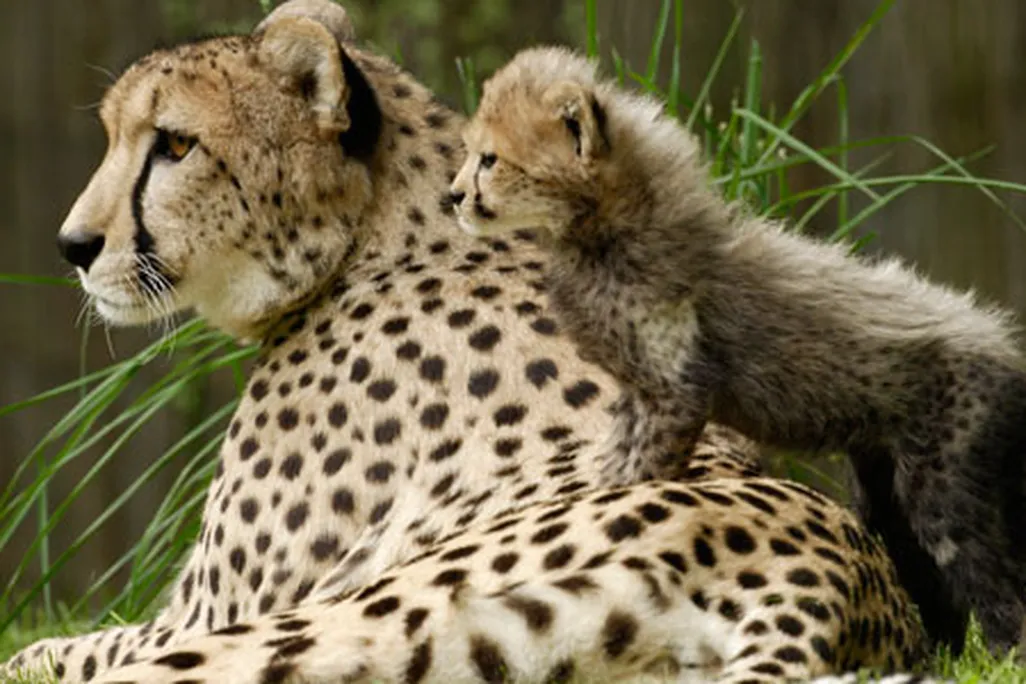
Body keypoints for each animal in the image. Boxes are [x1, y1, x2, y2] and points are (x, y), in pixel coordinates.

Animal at [0, 2, 939, 682]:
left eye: (175, 144)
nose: (73, 245)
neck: (373, 235)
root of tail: (833, 574)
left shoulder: (208, 614)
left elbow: (67, 647)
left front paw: (40, 650)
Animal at [448, 44, 1026, 656]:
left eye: (489, 159)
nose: (454, 196)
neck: (602, 235)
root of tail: (1006, 345)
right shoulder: (640, 393)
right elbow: (616, 463)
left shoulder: (677, 395)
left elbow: (644, 474)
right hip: (884, 487)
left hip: (947, 489)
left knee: (996, 585)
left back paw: (1002, 653)